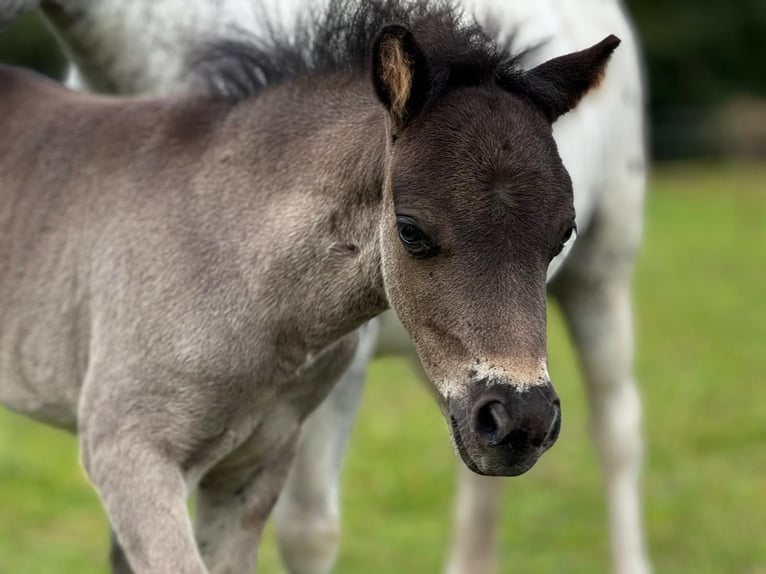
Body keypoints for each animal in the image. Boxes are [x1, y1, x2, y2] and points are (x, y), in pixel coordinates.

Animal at [1, 2, 648, 572]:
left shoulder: (252, 466)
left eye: (562, 233)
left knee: (616, 428)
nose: (519, 420)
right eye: (410, 231)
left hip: (598, 281)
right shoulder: (129, 453)